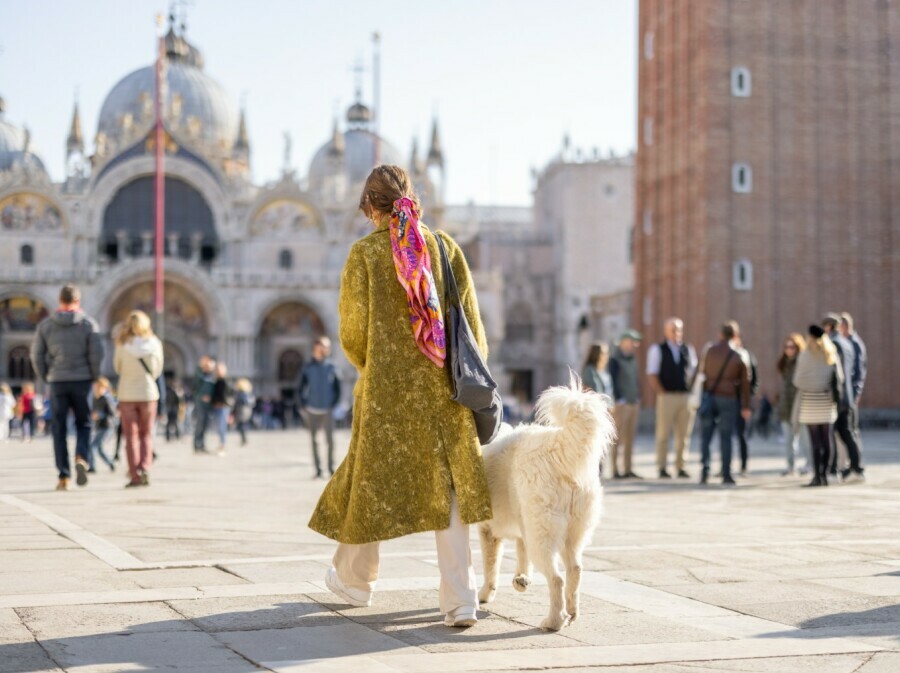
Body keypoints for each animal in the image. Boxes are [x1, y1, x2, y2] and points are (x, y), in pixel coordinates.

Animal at [474, 372, 616, 632]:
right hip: (571, 531)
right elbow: (521, 553)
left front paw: (485, 595)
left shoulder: (488, 530)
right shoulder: (522, 526)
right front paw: (521, 580)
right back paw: (572, 613)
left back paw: (553, 621)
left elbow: (491, 567)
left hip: (543, 533)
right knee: (575, 570)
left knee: (557, 579)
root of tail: (555, 446)